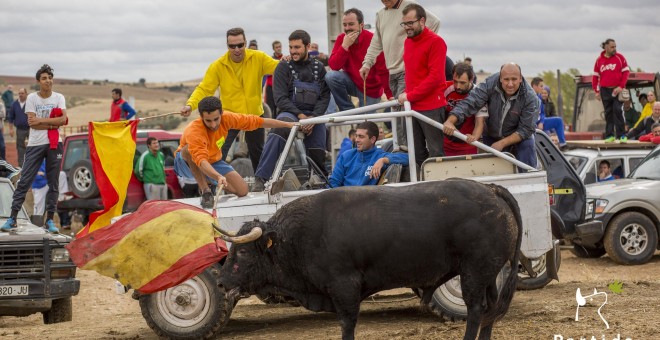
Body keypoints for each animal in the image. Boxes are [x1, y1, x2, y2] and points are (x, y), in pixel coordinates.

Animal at [219, 179, 524, 338]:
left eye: (242, 251)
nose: (221, 283)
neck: (301, 234)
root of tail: (491, 189)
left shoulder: (344, 287)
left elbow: (347, 324)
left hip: (473, 273)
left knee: (475, 310)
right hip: (487, 275)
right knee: (490, 309)